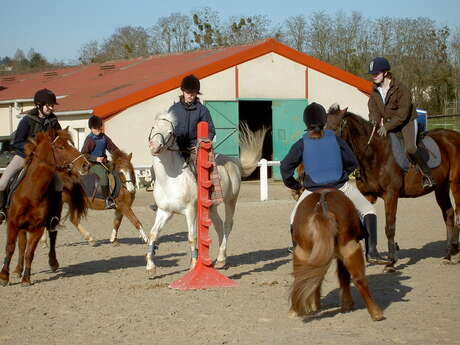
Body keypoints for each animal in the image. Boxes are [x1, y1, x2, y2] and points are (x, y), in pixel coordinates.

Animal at [0, 129, 89, 284]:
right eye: (61, 147)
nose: (85, 165)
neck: (31, 192)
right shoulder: (12, 223)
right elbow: (10, 248)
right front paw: (4, 276)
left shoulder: (38, 227)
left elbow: (30, 252)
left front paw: (26, 278)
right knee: (21, 244)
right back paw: (17, 269)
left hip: (54, 217)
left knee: (52, 237)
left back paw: (53, 263)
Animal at [146, 109, 264, 276]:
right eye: (154, 127)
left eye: (170, 132)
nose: (154, 146)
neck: (170, 179)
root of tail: (235, 162)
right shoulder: (164, 211)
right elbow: (153, 234)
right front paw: (151, 267)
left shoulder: (190, 211)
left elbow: (192, 237)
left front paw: (194, 265)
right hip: (212, 207)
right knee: (219, 226)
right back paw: (221, 259)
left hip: (231, 201)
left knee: (227, 225)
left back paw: (221, 258)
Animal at [292, 188, 384, 320]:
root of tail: (322, 211)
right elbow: (343, 276)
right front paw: (347, 304)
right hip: (350, 248)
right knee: (359, 279)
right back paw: (376, 312)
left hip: (302, 253)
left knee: (302, 279)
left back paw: (296, 310)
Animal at [328, 103, 460, 270]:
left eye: (333, 128)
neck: (375, 154)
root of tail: (455, 136)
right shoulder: (367, 196)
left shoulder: (391, 195)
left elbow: (389, 227)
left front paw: (391, 262)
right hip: (441, 187)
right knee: (448, 214)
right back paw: (448, 254)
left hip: (455, 184)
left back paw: (455, 250)